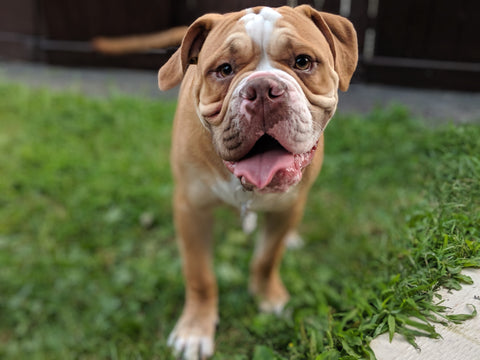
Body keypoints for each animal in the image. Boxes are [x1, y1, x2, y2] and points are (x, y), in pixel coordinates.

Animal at [96, 4, 356, 358]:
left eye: (302, 61)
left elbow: (267, 258)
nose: (262, 90)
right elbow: (200, 276)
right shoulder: (192, 210)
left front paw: (269, 298)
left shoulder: (288, 206)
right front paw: (195, 330)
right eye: (224, 69)